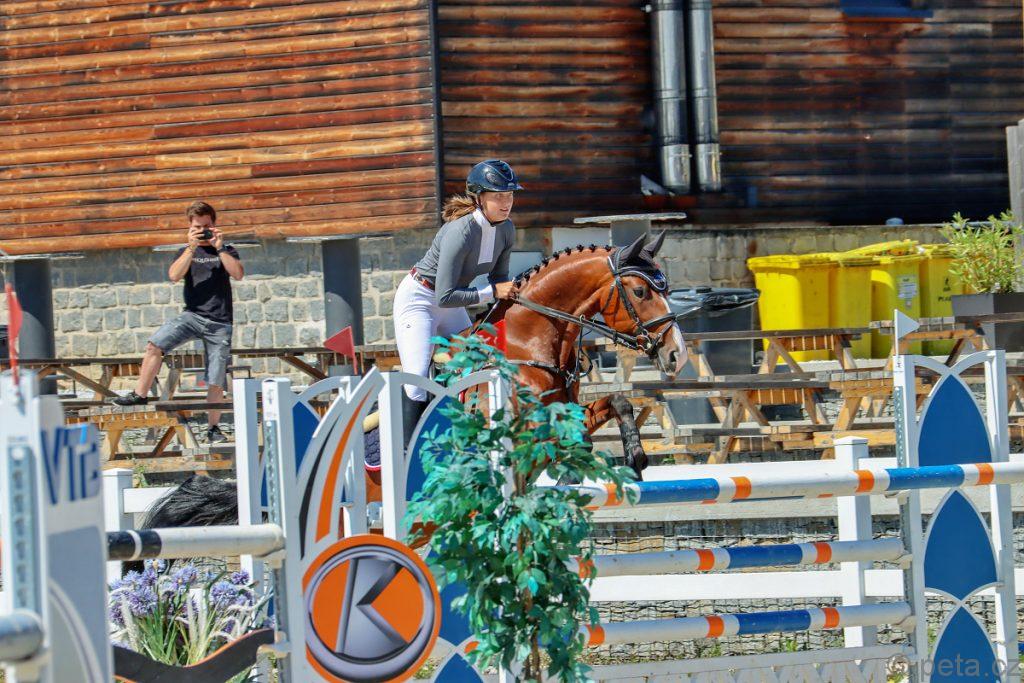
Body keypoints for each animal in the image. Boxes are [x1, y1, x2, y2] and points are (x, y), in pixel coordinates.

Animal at [136, 233, 686, 537]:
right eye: (640, 291)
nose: (677, 355)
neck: (531, 339)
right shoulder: (522, 434)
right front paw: (619, 460)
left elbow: (617, 401)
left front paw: (635, 457)